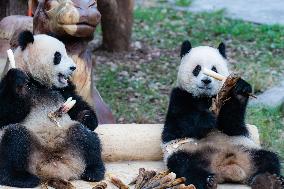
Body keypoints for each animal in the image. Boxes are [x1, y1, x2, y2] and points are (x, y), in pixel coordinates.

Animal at [0, 31, 105, 188]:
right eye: (58, 56)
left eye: (67, 53)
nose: (73, 68)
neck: (39, 82)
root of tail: (51, 165)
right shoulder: (6, 84)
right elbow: (6, 114)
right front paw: (18, 83)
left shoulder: (64, 90)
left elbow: (78, 105)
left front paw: (86, 117)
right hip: (31, 149)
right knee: (15, 138)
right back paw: (20, 178)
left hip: (70, 140)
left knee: (86, 137)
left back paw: (93, 171)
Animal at [161, 40, 282, 188]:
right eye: (197, 69)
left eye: (214, 69)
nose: (206, 81)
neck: (205, 97)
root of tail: (226, 168)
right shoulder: (179, 96)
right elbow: (178, 126)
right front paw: (206, 119)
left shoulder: (227, 104)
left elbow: (232, 124)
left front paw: (240, 89)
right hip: (187, 151)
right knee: (185, 165)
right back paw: (207, 180)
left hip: (247, 148)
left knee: (269, 158)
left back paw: (269, 180)